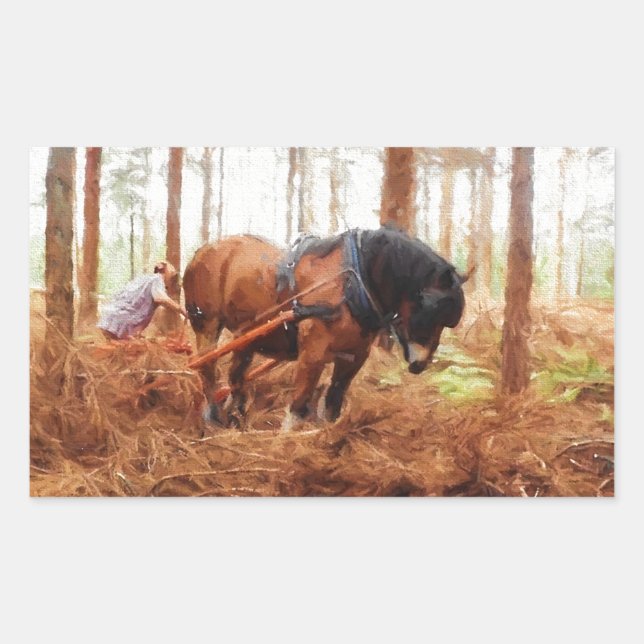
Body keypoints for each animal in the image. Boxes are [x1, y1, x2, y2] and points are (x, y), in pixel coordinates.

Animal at [182, 226, 469, 428]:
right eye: (430, 310)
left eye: (448, 321)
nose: (420, 365)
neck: (352, 280)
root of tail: (203, 250)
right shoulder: (313, 354)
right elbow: (298, 407)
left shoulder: (354, 357)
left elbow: (333, 403)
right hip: (207, 325)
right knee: (207, 368)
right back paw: (213, 417)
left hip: (247, 336)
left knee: (236, 377)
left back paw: (235, 415)